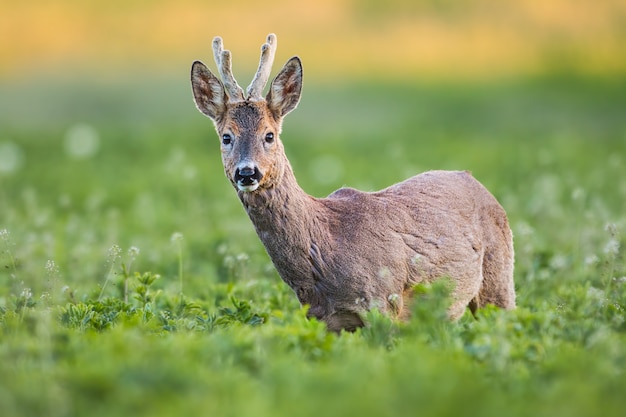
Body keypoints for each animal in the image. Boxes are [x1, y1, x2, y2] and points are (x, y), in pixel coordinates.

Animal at [190, 33, 512, 332]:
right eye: (226, 137)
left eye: (269, 135)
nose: (247, 173)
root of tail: (475, 181)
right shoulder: (322, 319)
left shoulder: (383, 301)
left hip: (499, 278)